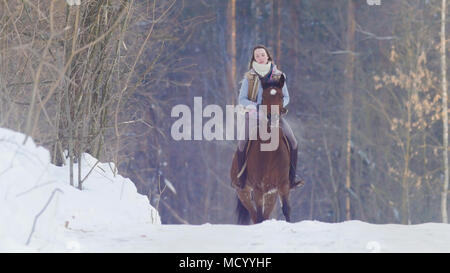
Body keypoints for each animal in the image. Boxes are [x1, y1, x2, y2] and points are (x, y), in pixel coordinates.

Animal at [230, 74, 294, 223]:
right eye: (263, 97)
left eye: (282, 96)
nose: (273, 117)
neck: (269, 151)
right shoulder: (258, 187)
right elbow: (258, 215)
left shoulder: (283, 185)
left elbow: (286, 209)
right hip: (244, 192)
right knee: (255, 215)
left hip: (271, 194)